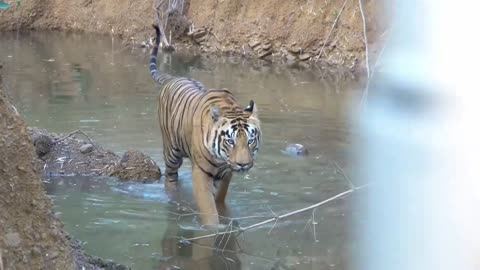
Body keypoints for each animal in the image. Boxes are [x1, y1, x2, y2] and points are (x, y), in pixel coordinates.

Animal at [150, 25, 262, 225]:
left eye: (250, 141)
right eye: (231, 141)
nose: (243, 165)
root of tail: (173, 78)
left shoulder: (226, 173)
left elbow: (220, 199)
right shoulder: (201, 173)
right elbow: (209, 209)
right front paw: (213, 227)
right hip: (172, 152)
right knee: (170, 177)